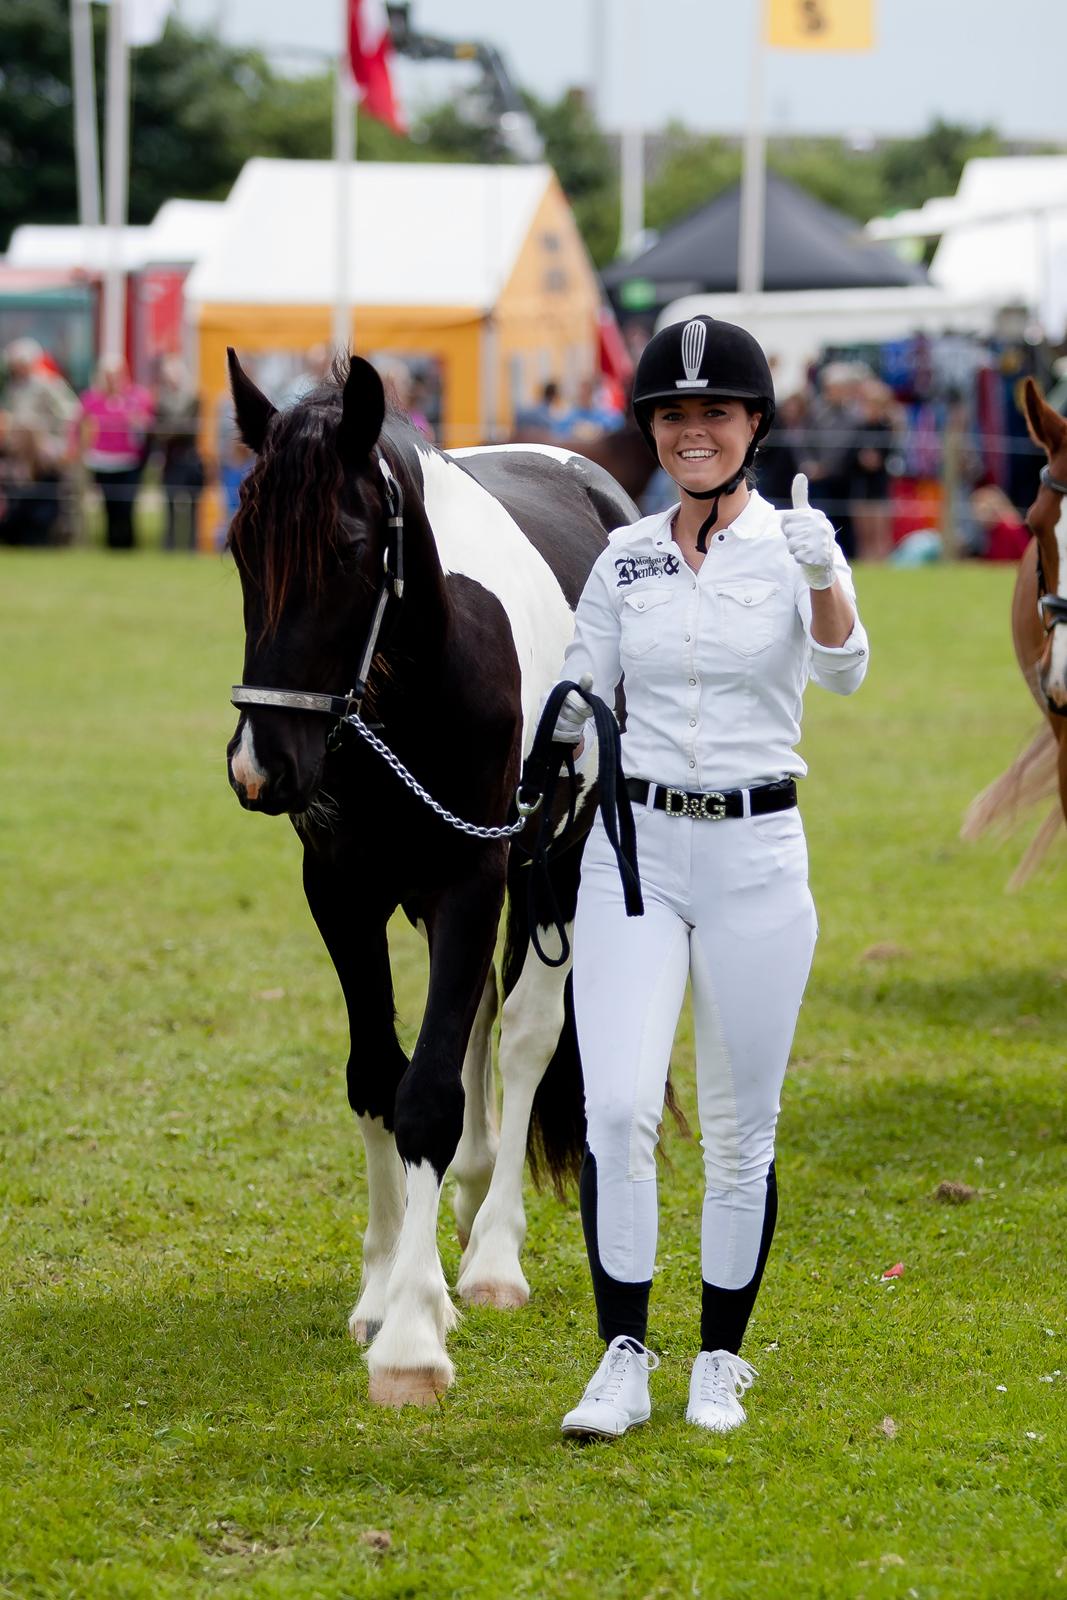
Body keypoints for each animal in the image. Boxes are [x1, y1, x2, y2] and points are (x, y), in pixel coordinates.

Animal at [223, 356, 639, 1408]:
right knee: (481, 1018)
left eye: (346, 550)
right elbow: (379, 1076)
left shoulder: (472, 875)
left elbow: (428, 1097)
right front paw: (384, 1290)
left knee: (524, 1034)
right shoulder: (339, 888)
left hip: (554, 861)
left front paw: (411, 1337)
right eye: (241, 545)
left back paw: (491, 1257)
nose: (260, 767)